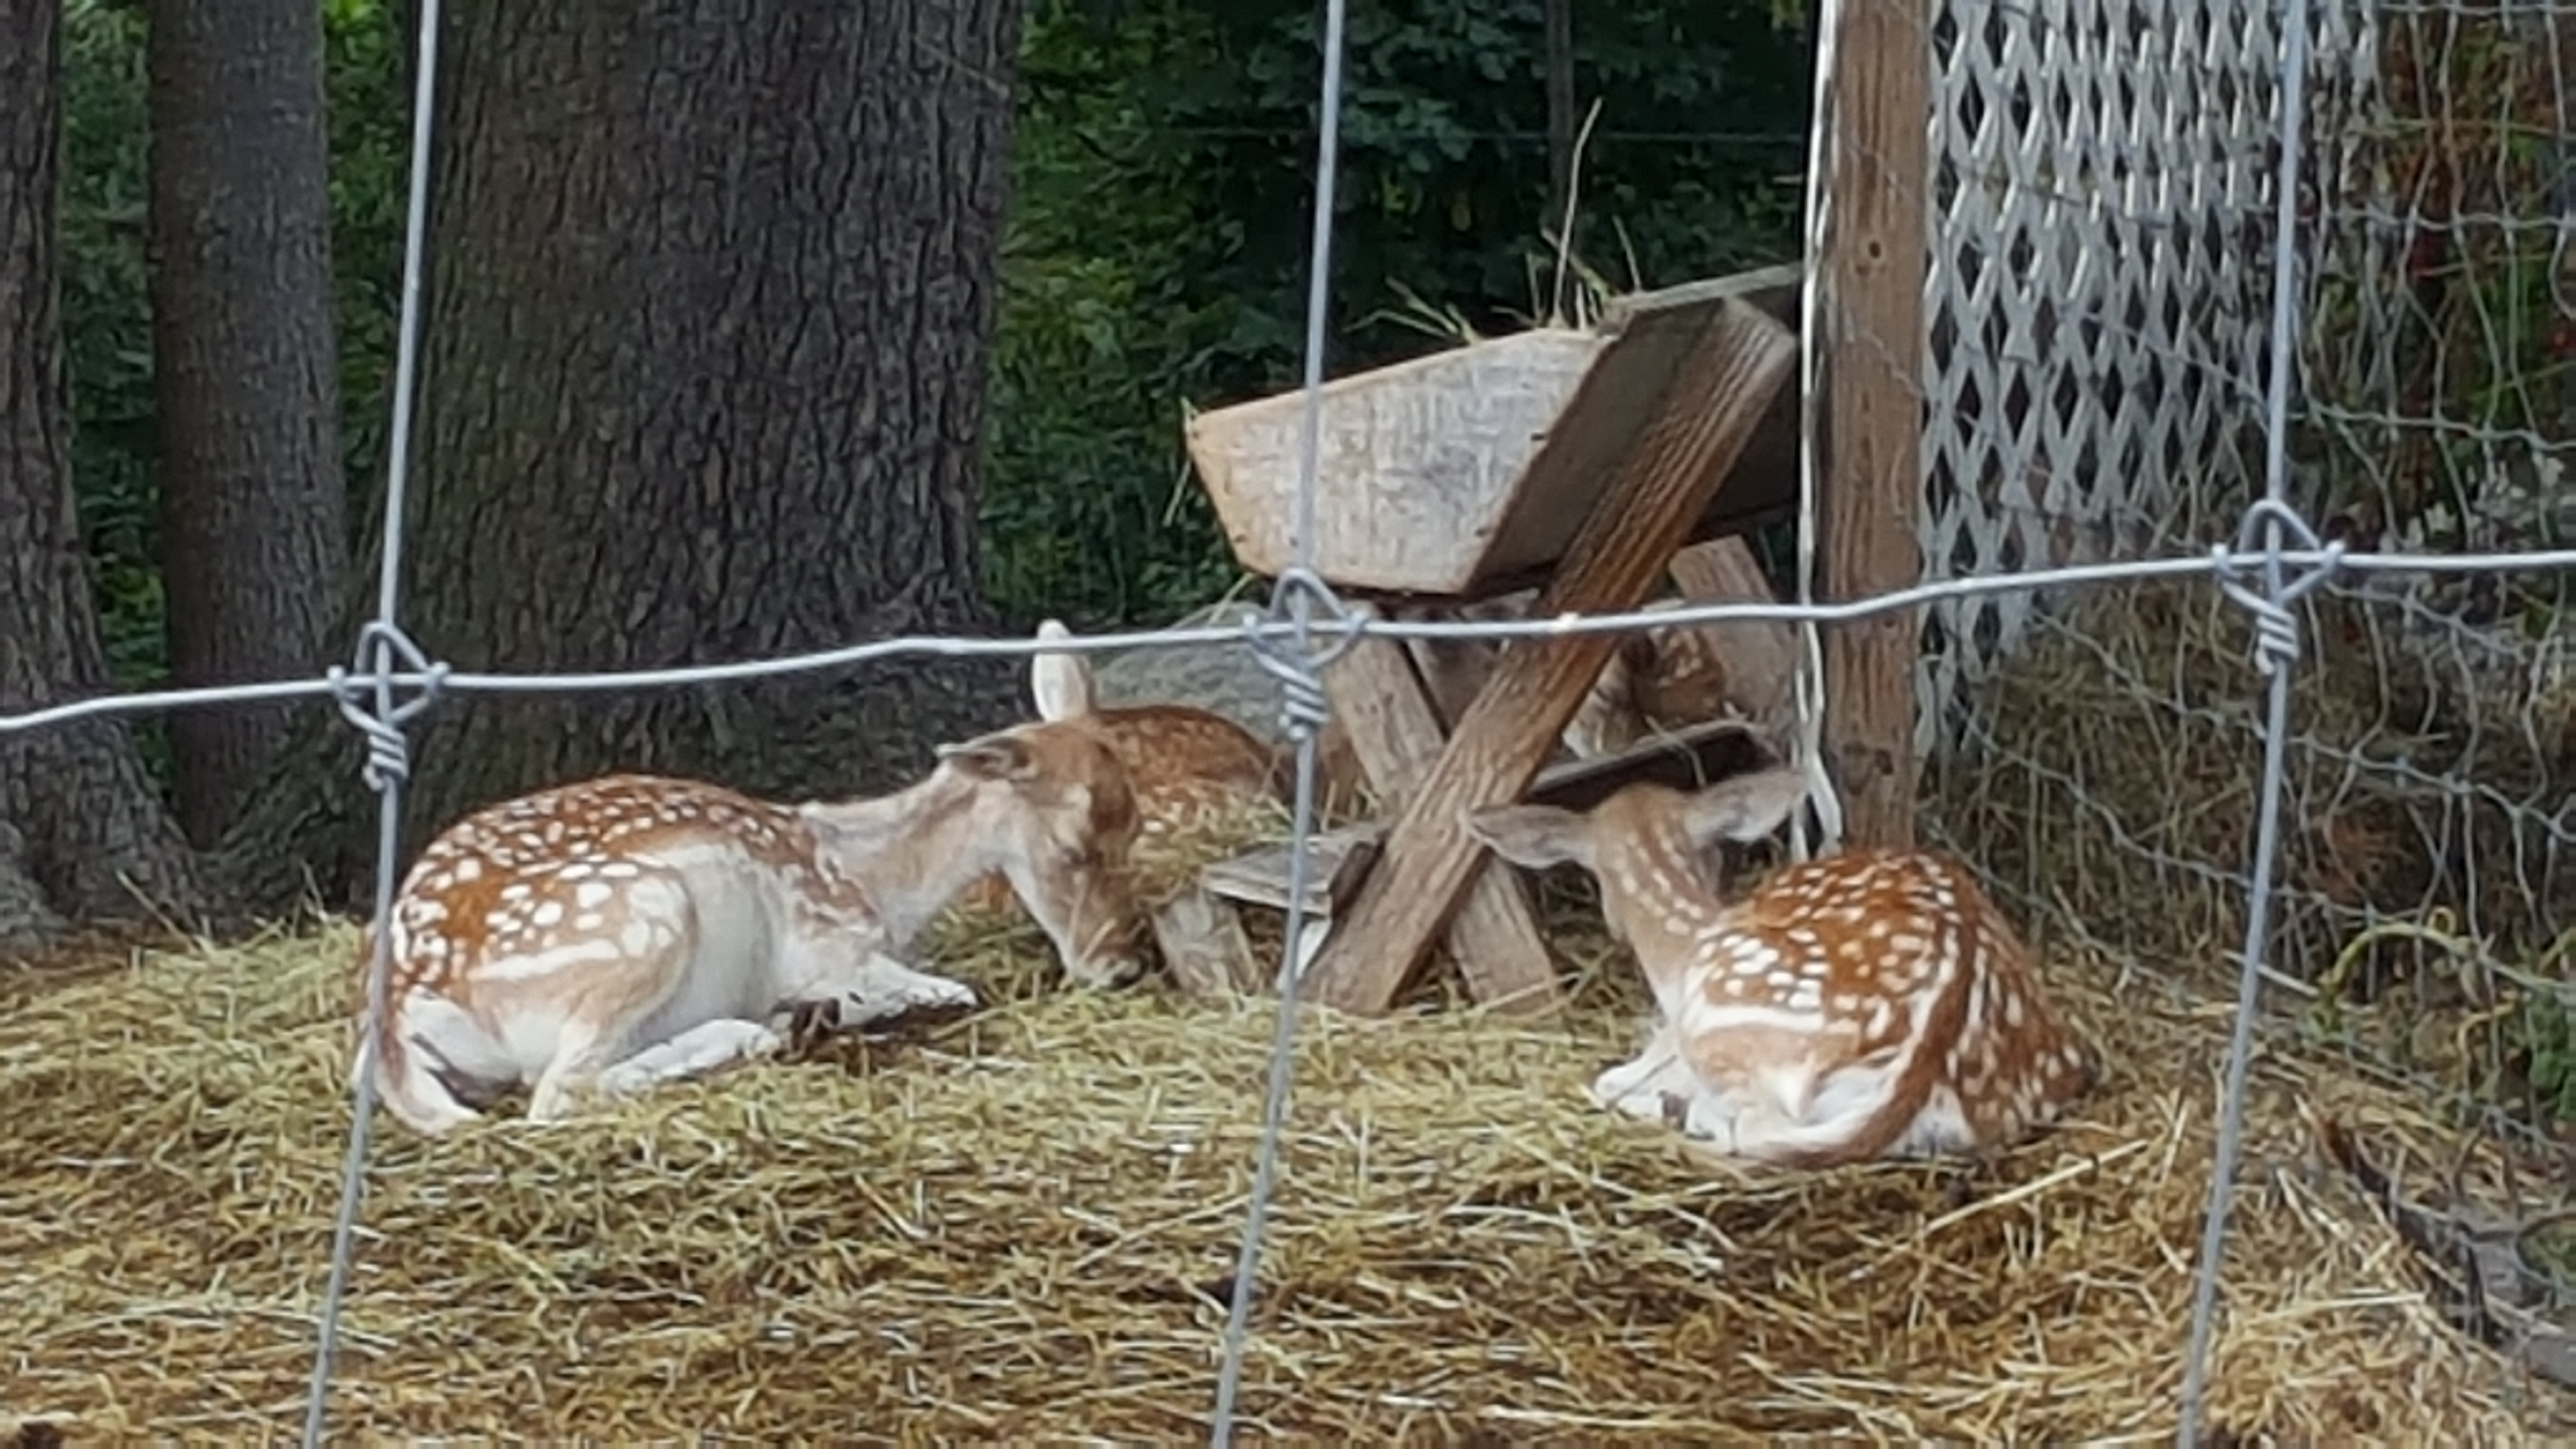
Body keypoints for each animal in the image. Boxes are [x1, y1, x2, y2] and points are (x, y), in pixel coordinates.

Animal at [355, 718, 1148, 1136]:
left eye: (1136, 828)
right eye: (1074, 847)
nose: (1121, 966)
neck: (878, 885)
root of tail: (401, 1012)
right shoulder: (830, 948)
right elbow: (952, 990)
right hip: (642, 915)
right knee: (556, 1094)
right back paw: (755, 1032)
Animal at [1465, 765, 2093, 1169]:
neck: (1683, 940)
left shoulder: (1674, 1036)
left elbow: (1609, 1079)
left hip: (1728, 1019)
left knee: (1754, 1130)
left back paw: (1684, 1115)